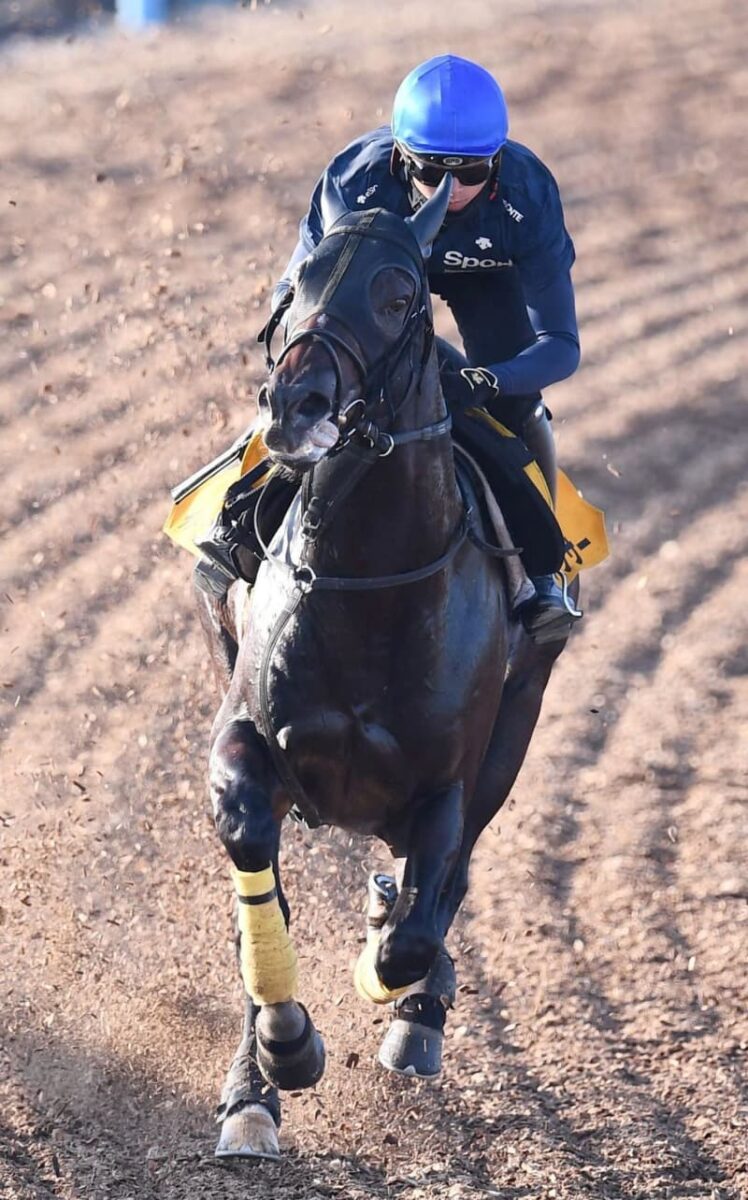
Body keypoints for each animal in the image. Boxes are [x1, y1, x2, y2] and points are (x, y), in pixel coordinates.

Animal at [196, 175, 567, 1160]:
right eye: (295, 286)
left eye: (401, 296)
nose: (294, 403)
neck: (368, 580)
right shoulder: (246, 737)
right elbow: (254, 865)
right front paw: (277, 1059)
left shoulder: (449, 779)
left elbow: (413, 930)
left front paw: (388, 974)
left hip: (515, 731)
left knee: (450, 884)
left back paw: (416, 1011)